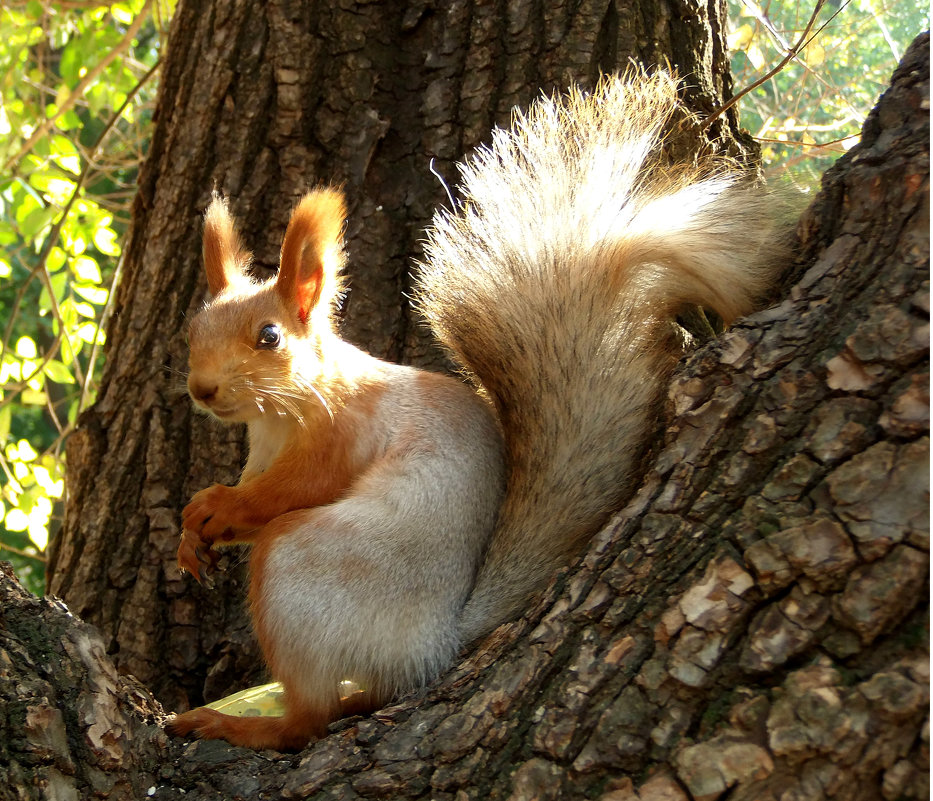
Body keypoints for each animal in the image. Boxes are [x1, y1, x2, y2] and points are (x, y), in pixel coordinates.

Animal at [166, 70, 788, 752]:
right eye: (193, 328)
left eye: (269, 337)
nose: (201, 390)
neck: (281, 416)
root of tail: (433, 645)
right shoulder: (262, 449)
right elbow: (250, 491)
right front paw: (193, 532)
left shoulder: (341, 434)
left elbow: (289, 492)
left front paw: (219, 508)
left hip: (300, 569)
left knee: (308, 719)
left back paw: (239, 723)